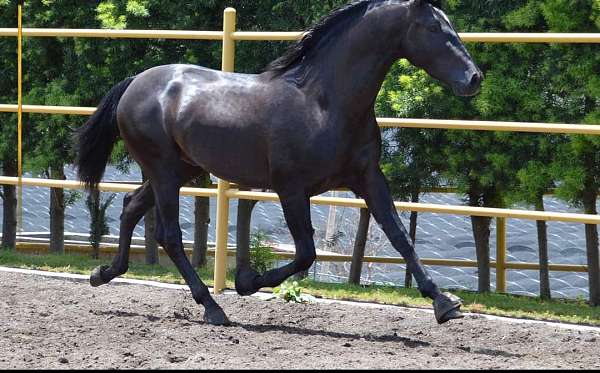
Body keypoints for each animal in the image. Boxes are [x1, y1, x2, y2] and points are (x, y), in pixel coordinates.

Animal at [75, 0, 486, 326]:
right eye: (434, 28)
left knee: (131, 207)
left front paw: (445, 304)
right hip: (164, 171)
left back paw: (103, 273)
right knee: (169, 235)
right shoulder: (291, 188)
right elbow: (306, 252)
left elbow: (400, 235)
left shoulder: (368, 178)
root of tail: (134, 83)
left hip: (180, 170)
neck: (325, 102)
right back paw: (212, 308)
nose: (474, 78)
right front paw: (245, 282)